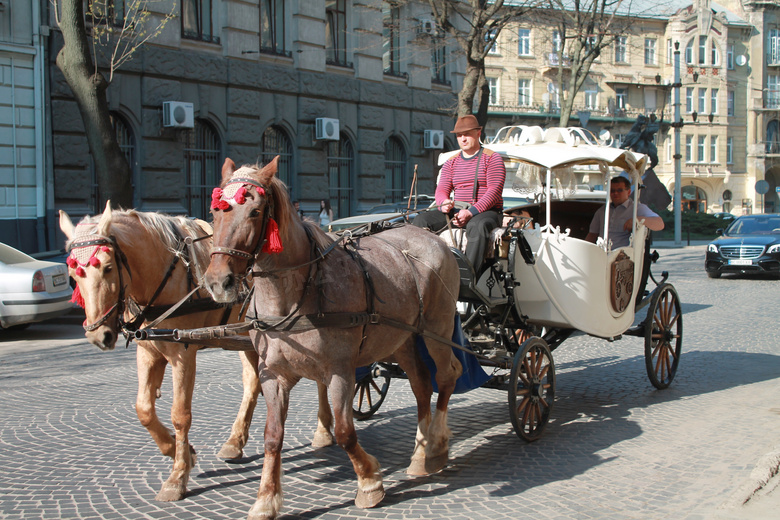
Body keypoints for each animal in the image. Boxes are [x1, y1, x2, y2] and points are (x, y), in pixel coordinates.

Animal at [55, 204, 336, 504]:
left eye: (108, 268)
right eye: (74, 274)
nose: (99, 335)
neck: (165, 273)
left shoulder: (182, 353)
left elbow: (180, 415)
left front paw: (177, 476)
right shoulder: (148, 352)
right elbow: (144, 409)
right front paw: (179, 452)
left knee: (320, 377)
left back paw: (322, 430)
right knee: (252, 382)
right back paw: (234, 441)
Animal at [206, 158, 464, 520]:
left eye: (255, 212)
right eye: (215, 212)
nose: (219, 281)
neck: (294, 295)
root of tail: (430, 235)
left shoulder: (341, 371)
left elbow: (344, 432)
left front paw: (369, 482)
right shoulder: (274, 374)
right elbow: (272, 437)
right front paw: (266, 498)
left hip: (438, 330)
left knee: (447, 375)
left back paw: (438, 444)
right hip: (403, 340)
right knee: (422, 385)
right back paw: (420, 454)